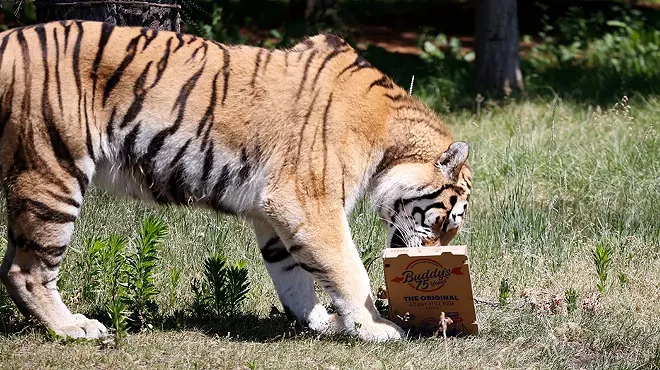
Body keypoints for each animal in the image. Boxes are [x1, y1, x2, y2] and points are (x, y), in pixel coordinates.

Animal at [1, 21, 474, 342]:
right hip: (53, 172)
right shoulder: (310, 203)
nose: (437, 254)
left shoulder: (275, 212)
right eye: (444, 221)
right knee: (26, 271)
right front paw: (376, 327)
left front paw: (322, 322)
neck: (387, 143)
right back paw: (73, 328)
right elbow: (348, 270)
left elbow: (293, 275)